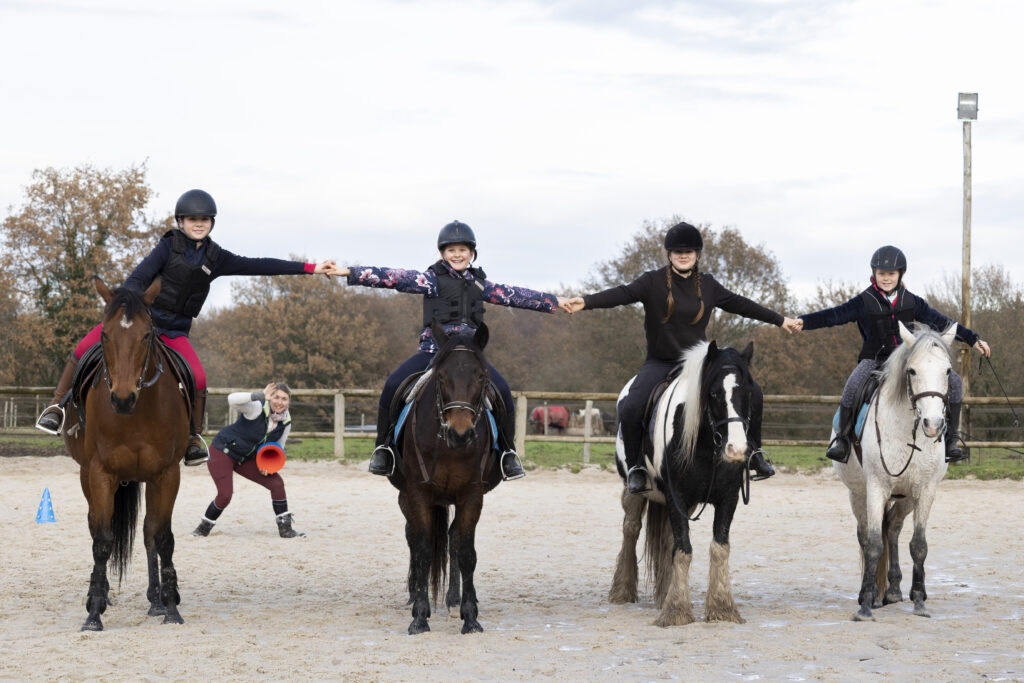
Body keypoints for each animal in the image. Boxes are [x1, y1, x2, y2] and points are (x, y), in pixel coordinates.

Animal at [62, 278, 192, 630]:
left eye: (147, 335)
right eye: (105, 335)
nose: (122, 398)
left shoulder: (167, 474)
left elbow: (162, 537)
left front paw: (170, 606)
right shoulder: (100, 473)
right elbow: (103, 540)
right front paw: (94, 611)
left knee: (148, 532)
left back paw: (155, 601)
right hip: (86, 475)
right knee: (96, 526)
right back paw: (103, 594)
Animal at [387, 321, 503, 634]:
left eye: (480, 375)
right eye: (441, 376)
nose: (459, 434)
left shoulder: (472, 495)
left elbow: (466, 551)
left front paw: (470, 615)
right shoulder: (418, 493)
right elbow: (424, 549)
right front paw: (419, 615)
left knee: (452, 539)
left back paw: (452, 600)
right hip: (407, 497)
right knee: (413, 537)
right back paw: (415, 595)